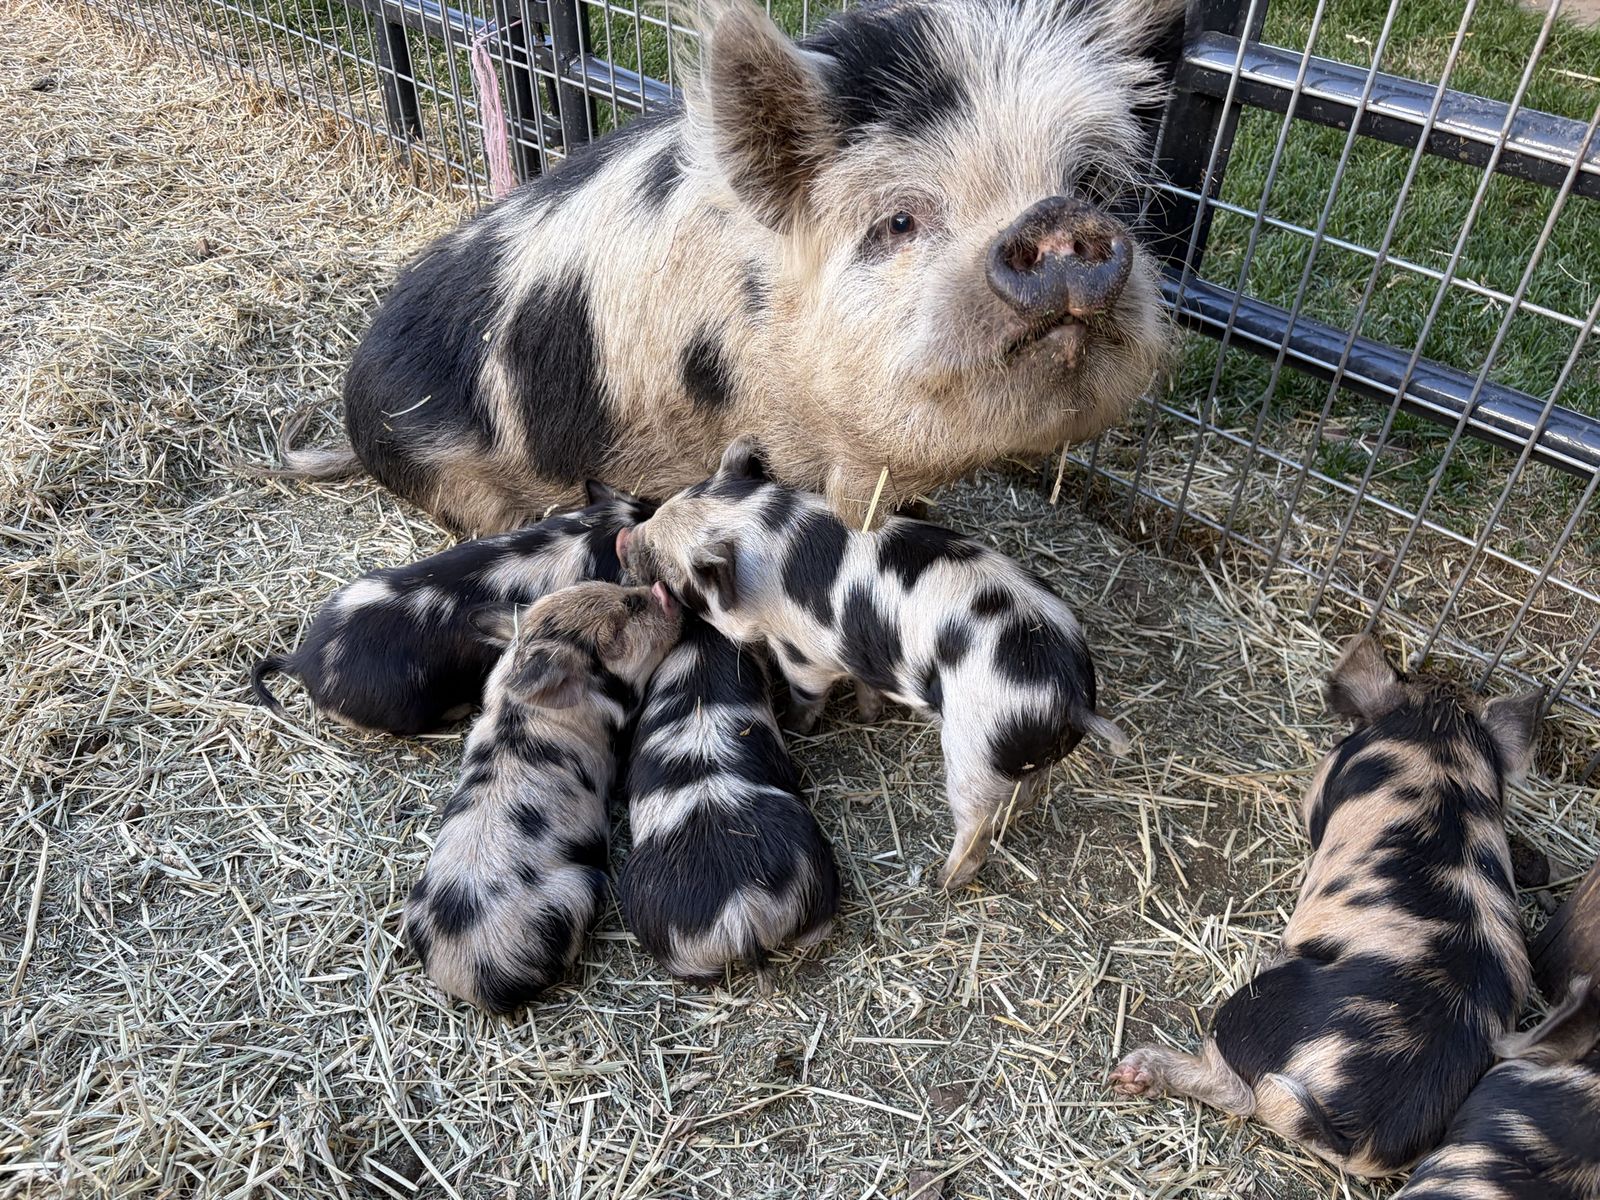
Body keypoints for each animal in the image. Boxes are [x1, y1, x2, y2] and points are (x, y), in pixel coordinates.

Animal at [616, 437, 1128, 891]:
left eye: (664, 561)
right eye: (666, 507)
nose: (623, 538)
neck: (768, 527)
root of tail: (1070, 697)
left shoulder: (803, 653)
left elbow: (808, 694)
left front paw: (793, 725)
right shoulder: (859, 651)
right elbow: (867, 684)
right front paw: (867, 714)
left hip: (974, 749)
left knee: (975, 821)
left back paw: (944, 882)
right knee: (1027, 790)